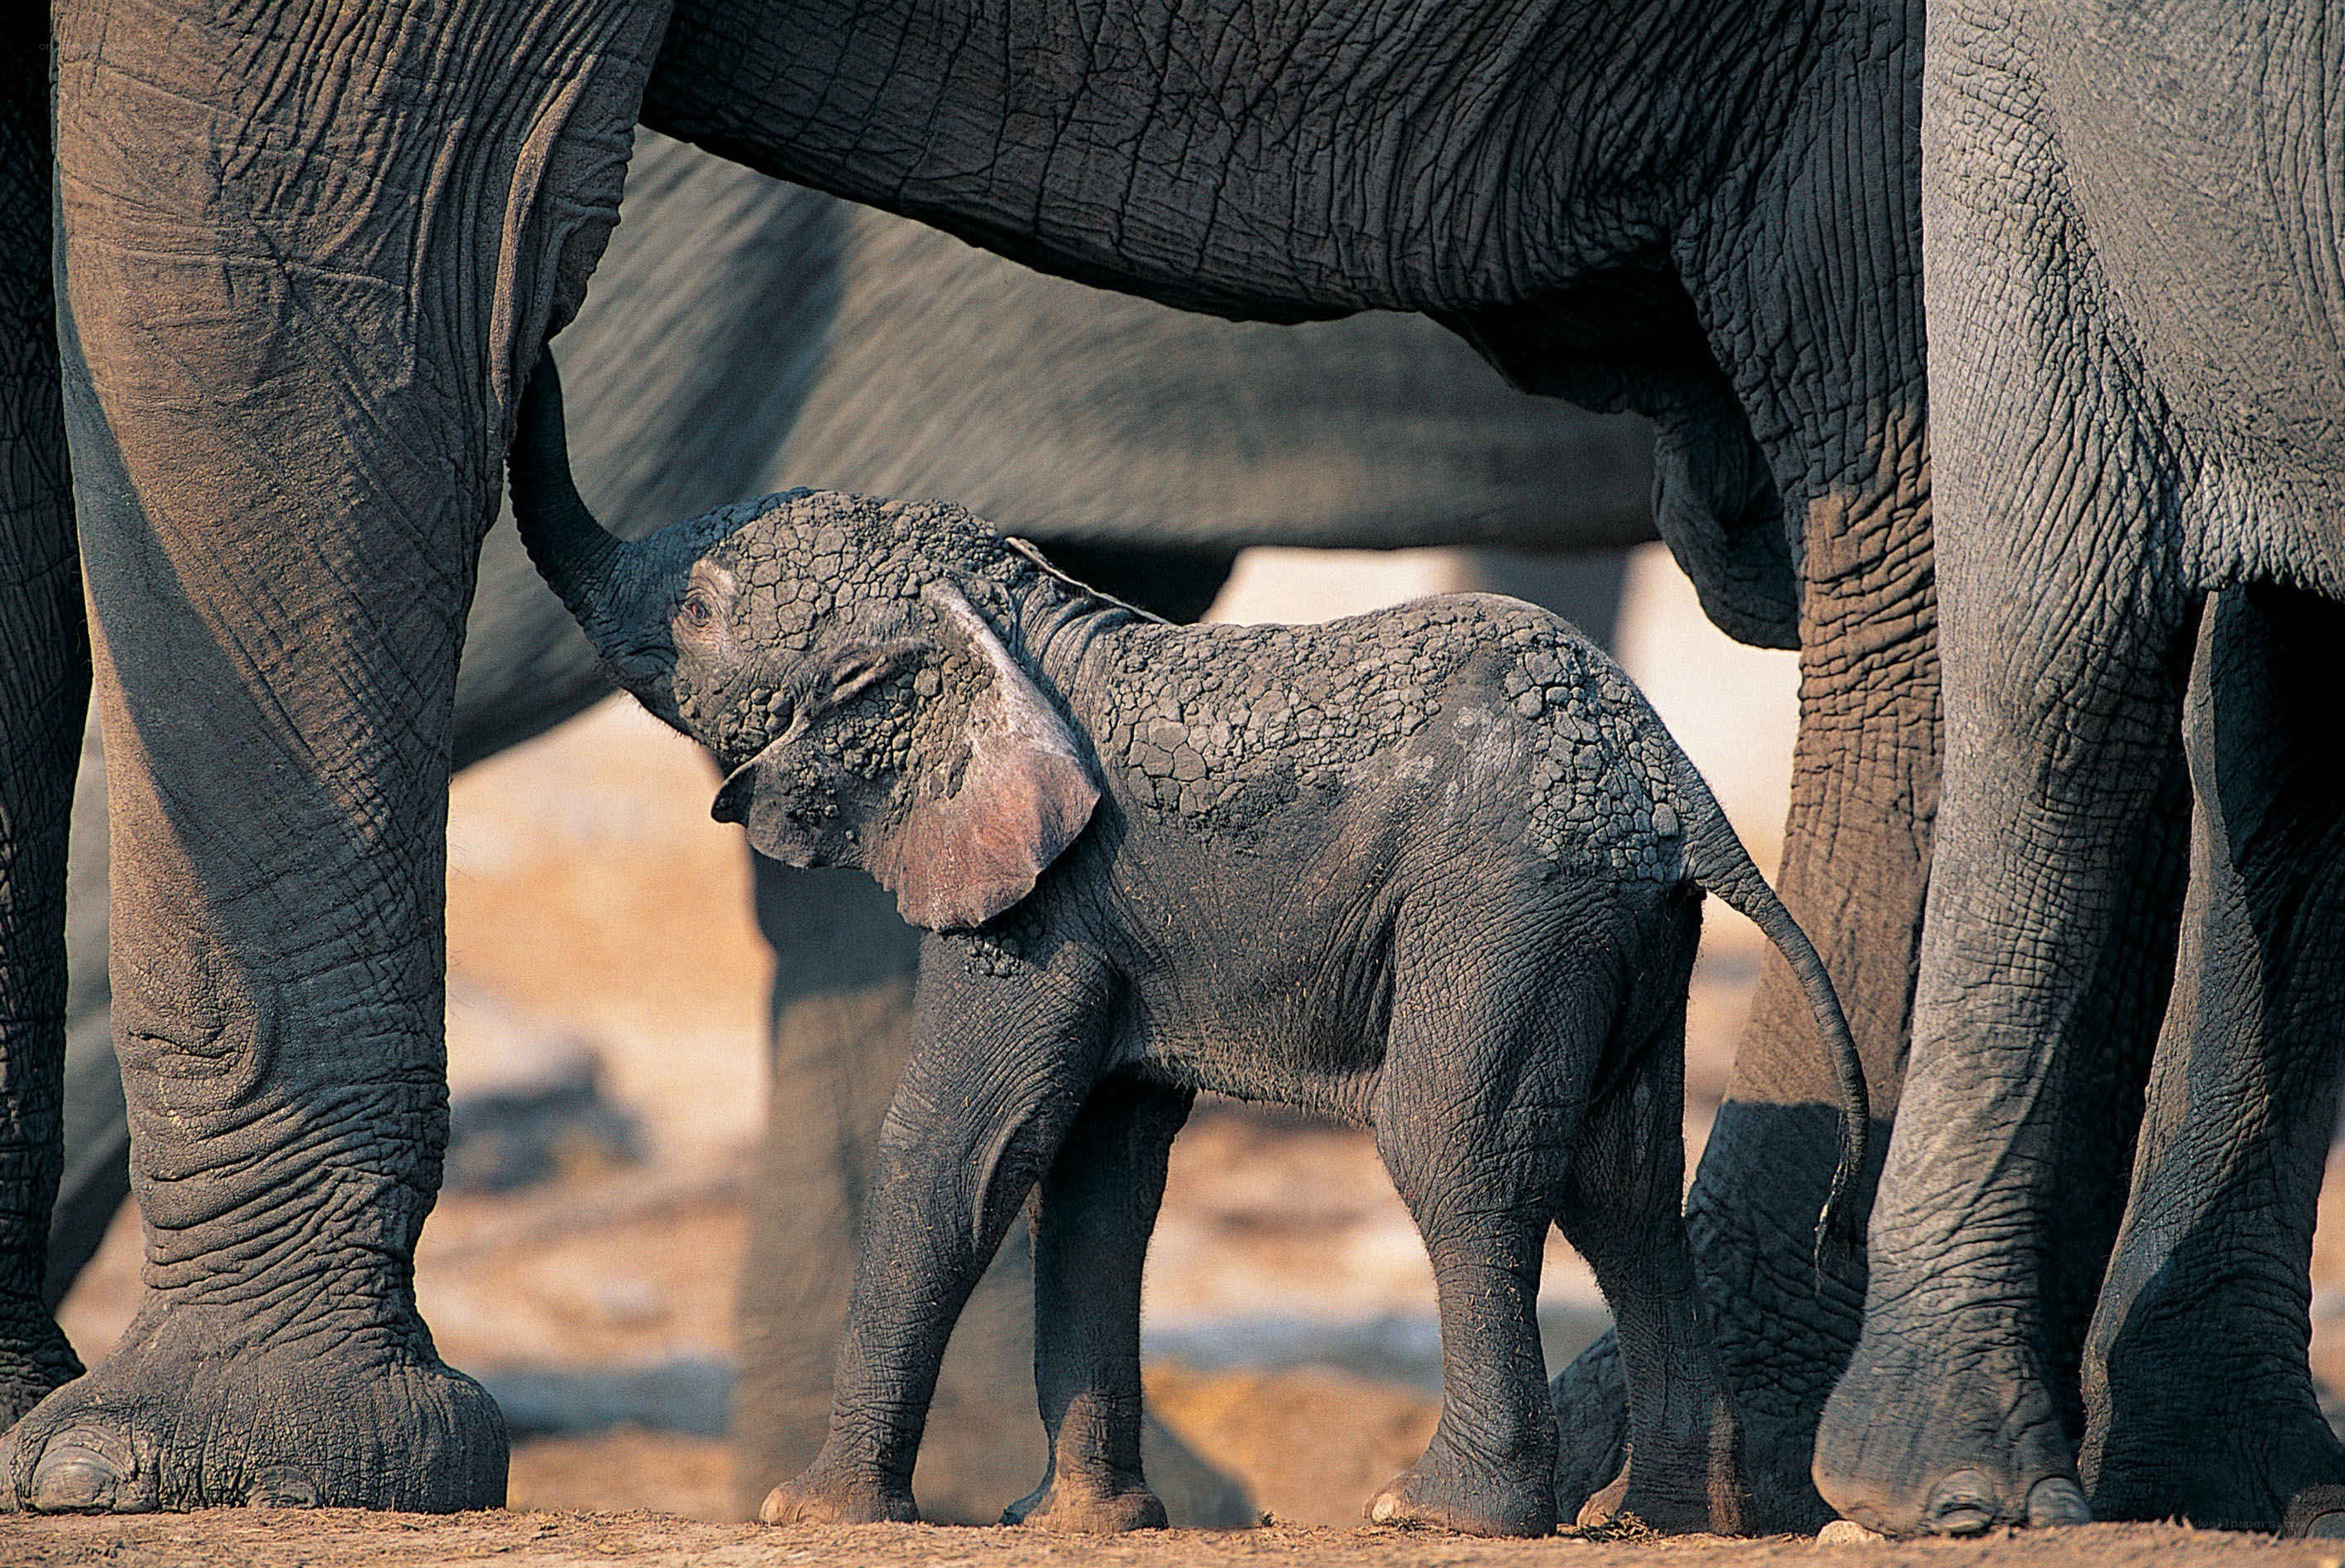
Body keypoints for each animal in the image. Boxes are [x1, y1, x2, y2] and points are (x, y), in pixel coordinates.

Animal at [504, 355, 1869, 1538]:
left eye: (701, 611)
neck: (1008, 612)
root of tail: (1676, 782)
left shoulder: (1038, 900)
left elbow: (965, 1143)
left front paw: (816, 1513)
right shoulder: (1104, 915)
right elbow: (1098, 1172)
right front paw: (1076, 1523)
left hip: (1506, 903)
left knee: (1456, 1152)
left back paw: (1436, 1512)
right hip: (1616, 923)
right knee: (1624, 1185)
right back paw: (1671, 1518)